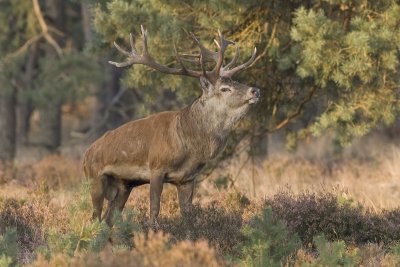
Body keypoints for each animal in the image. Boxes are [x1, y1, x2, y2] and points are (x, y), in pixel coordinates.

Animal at [83, 25, 260, 228]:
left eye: (236, 81)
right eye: (224, 89)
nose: (255, 90)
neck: (190, 145)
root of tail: (85, 155)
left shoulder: (187, 179)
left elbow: (188, 215)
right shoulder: (156, 167)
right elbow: (154, 209)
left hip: (124, 185)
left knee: (108, 219)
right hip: (94, 179)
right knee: (94, 217)